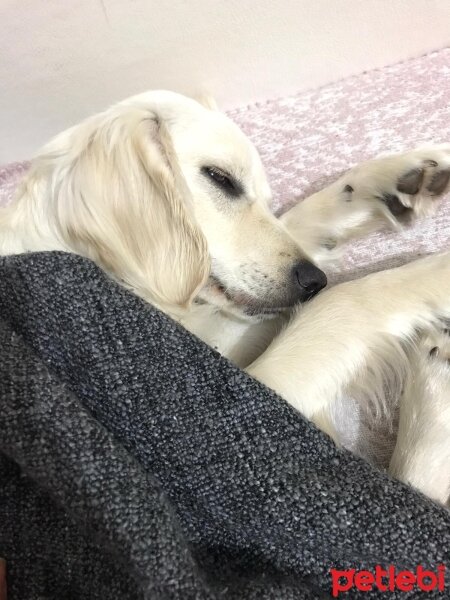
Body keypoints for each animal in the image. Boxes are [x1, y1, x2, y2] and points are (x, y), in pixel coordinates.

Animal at [0, 91, 450, 506]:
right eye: (221, 178)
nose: (314, 280)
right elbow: (344, 301)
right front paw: (434, 273)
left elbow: (298, 222)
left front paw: (391, 178)